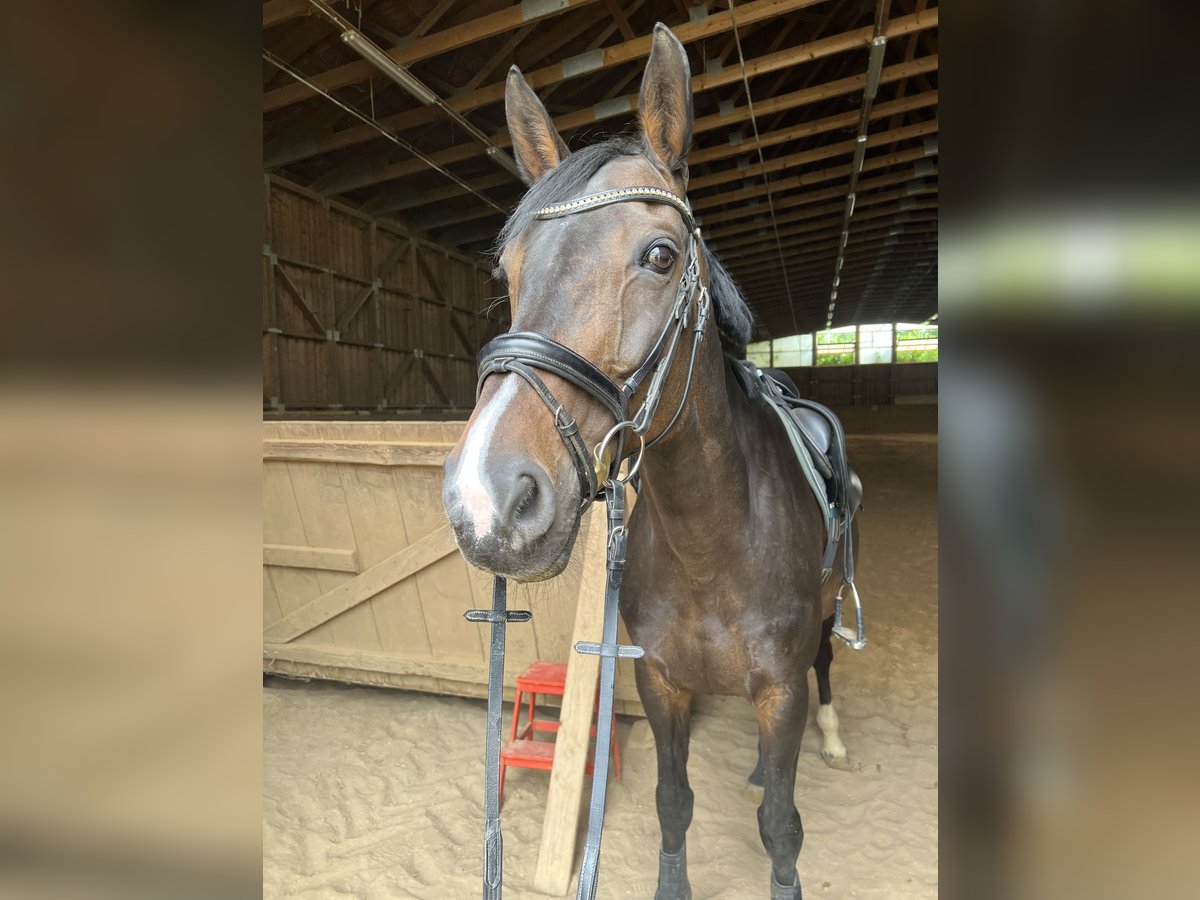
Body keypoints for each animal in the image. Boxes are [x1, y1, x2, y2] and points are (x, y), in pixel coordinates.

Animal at [443, 24, 857, 900]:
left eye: (661, 257)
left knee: (827, 664)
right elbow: (675, 802)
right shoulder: (658, 681)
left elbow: (781, 828)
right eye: (509, 270)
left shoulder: (780, 689)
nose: (485, 499)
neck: (715, 544)